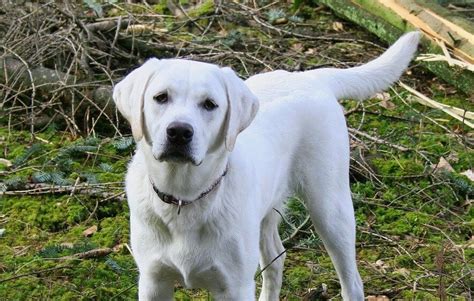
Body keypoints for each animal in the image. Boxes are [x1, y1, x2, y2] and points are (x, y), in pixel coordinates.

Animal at [113, 31, 420, 298]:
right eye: (160, 97)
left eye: (210, 104)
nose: (179, 132)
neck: (185, 199)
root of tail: (310, 76)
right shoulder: (153, 281)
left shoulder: (234, 287)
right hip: (267, 213)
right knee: (276, 259)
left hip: (331, 209)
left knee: (352, 281)